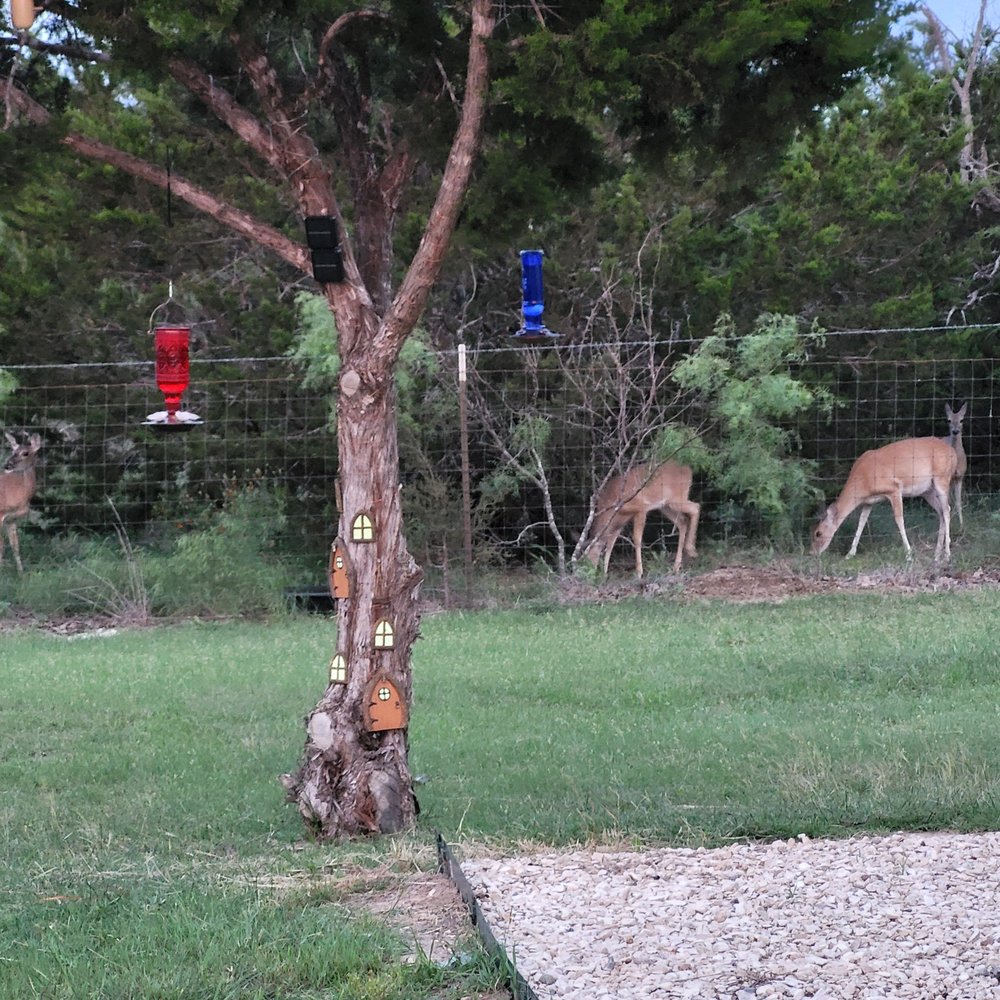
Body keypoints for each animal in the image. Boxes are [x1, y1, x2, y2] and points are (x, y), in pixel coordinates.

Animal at [1, 432, 43, 573]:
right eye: (13, 451)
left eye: (25, 453)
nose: (7, 465)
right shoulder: (0, 514)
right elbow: (1, 545)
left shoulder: (11, 518)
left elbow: (15, 545)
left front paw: (21, 572)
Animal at [810, 436, 957, 563]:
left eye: (818, 533)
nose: (812, 553)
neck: (864, 480)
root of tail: (953, 452)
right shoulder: (868, 502)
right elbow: (861, 522)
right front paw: (849, 554)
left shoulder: (894, 488)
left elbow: (899, 520)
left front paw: (909, 555)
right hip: (927, 491)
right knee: (941, 511)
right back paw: (937, 555)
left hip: (942, 478)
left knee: (947, 510)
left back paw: (947, 555)